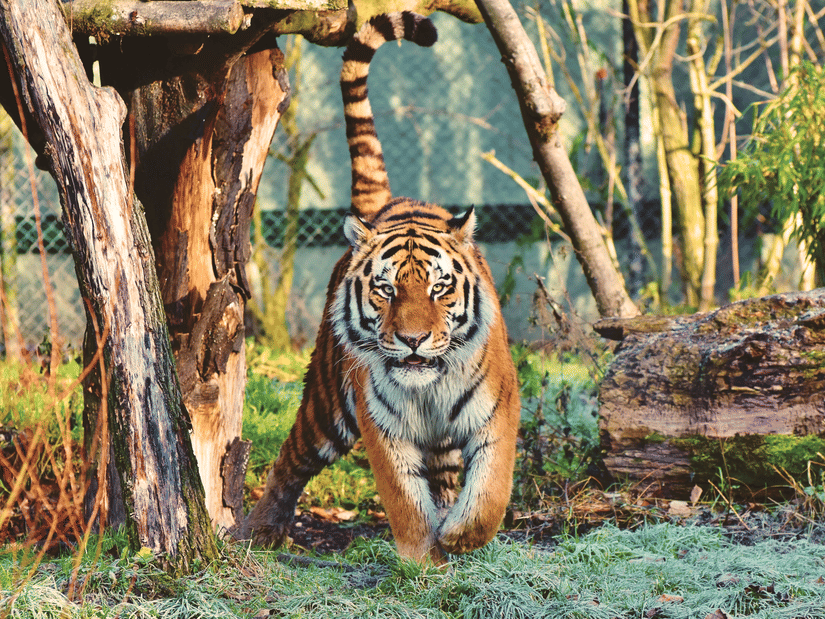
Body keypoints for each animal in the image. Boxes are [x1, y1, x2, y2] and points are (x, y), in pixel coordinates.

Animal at [241, 11, 521, 564]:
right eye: (386, 291)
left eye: (439, 288)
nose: (412, 340)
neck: (429, 388)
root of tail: (388, 203)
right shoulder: (381, 426)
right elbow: (404, 501)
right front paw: (422, 559)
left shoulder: (498, 410)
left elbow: (491, 492)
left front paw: (460, 535)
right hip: (327, 406)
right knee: (289, 459)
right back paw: (259, 530)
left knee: (446, 477)